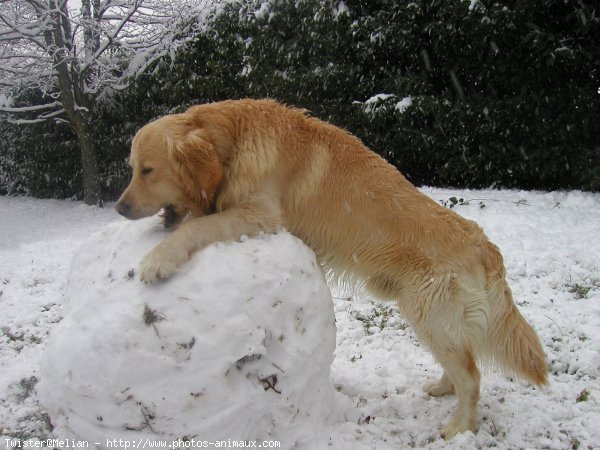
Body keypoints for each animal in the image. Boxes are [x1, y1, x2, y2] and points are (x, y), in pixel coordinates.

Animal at [116, 98, 548, 440]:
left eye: (148, 170)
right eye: (133, 168)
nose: (119, 208)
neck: (234, 141)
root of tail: (486, 246)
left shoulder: (261, 216)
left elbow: (197, 226)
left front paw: (158, 259)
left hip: (427, 314)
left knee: (472, 375)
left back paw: (460, 428)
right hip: (432, 319)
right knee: (463, 363)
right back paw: (443, 389)